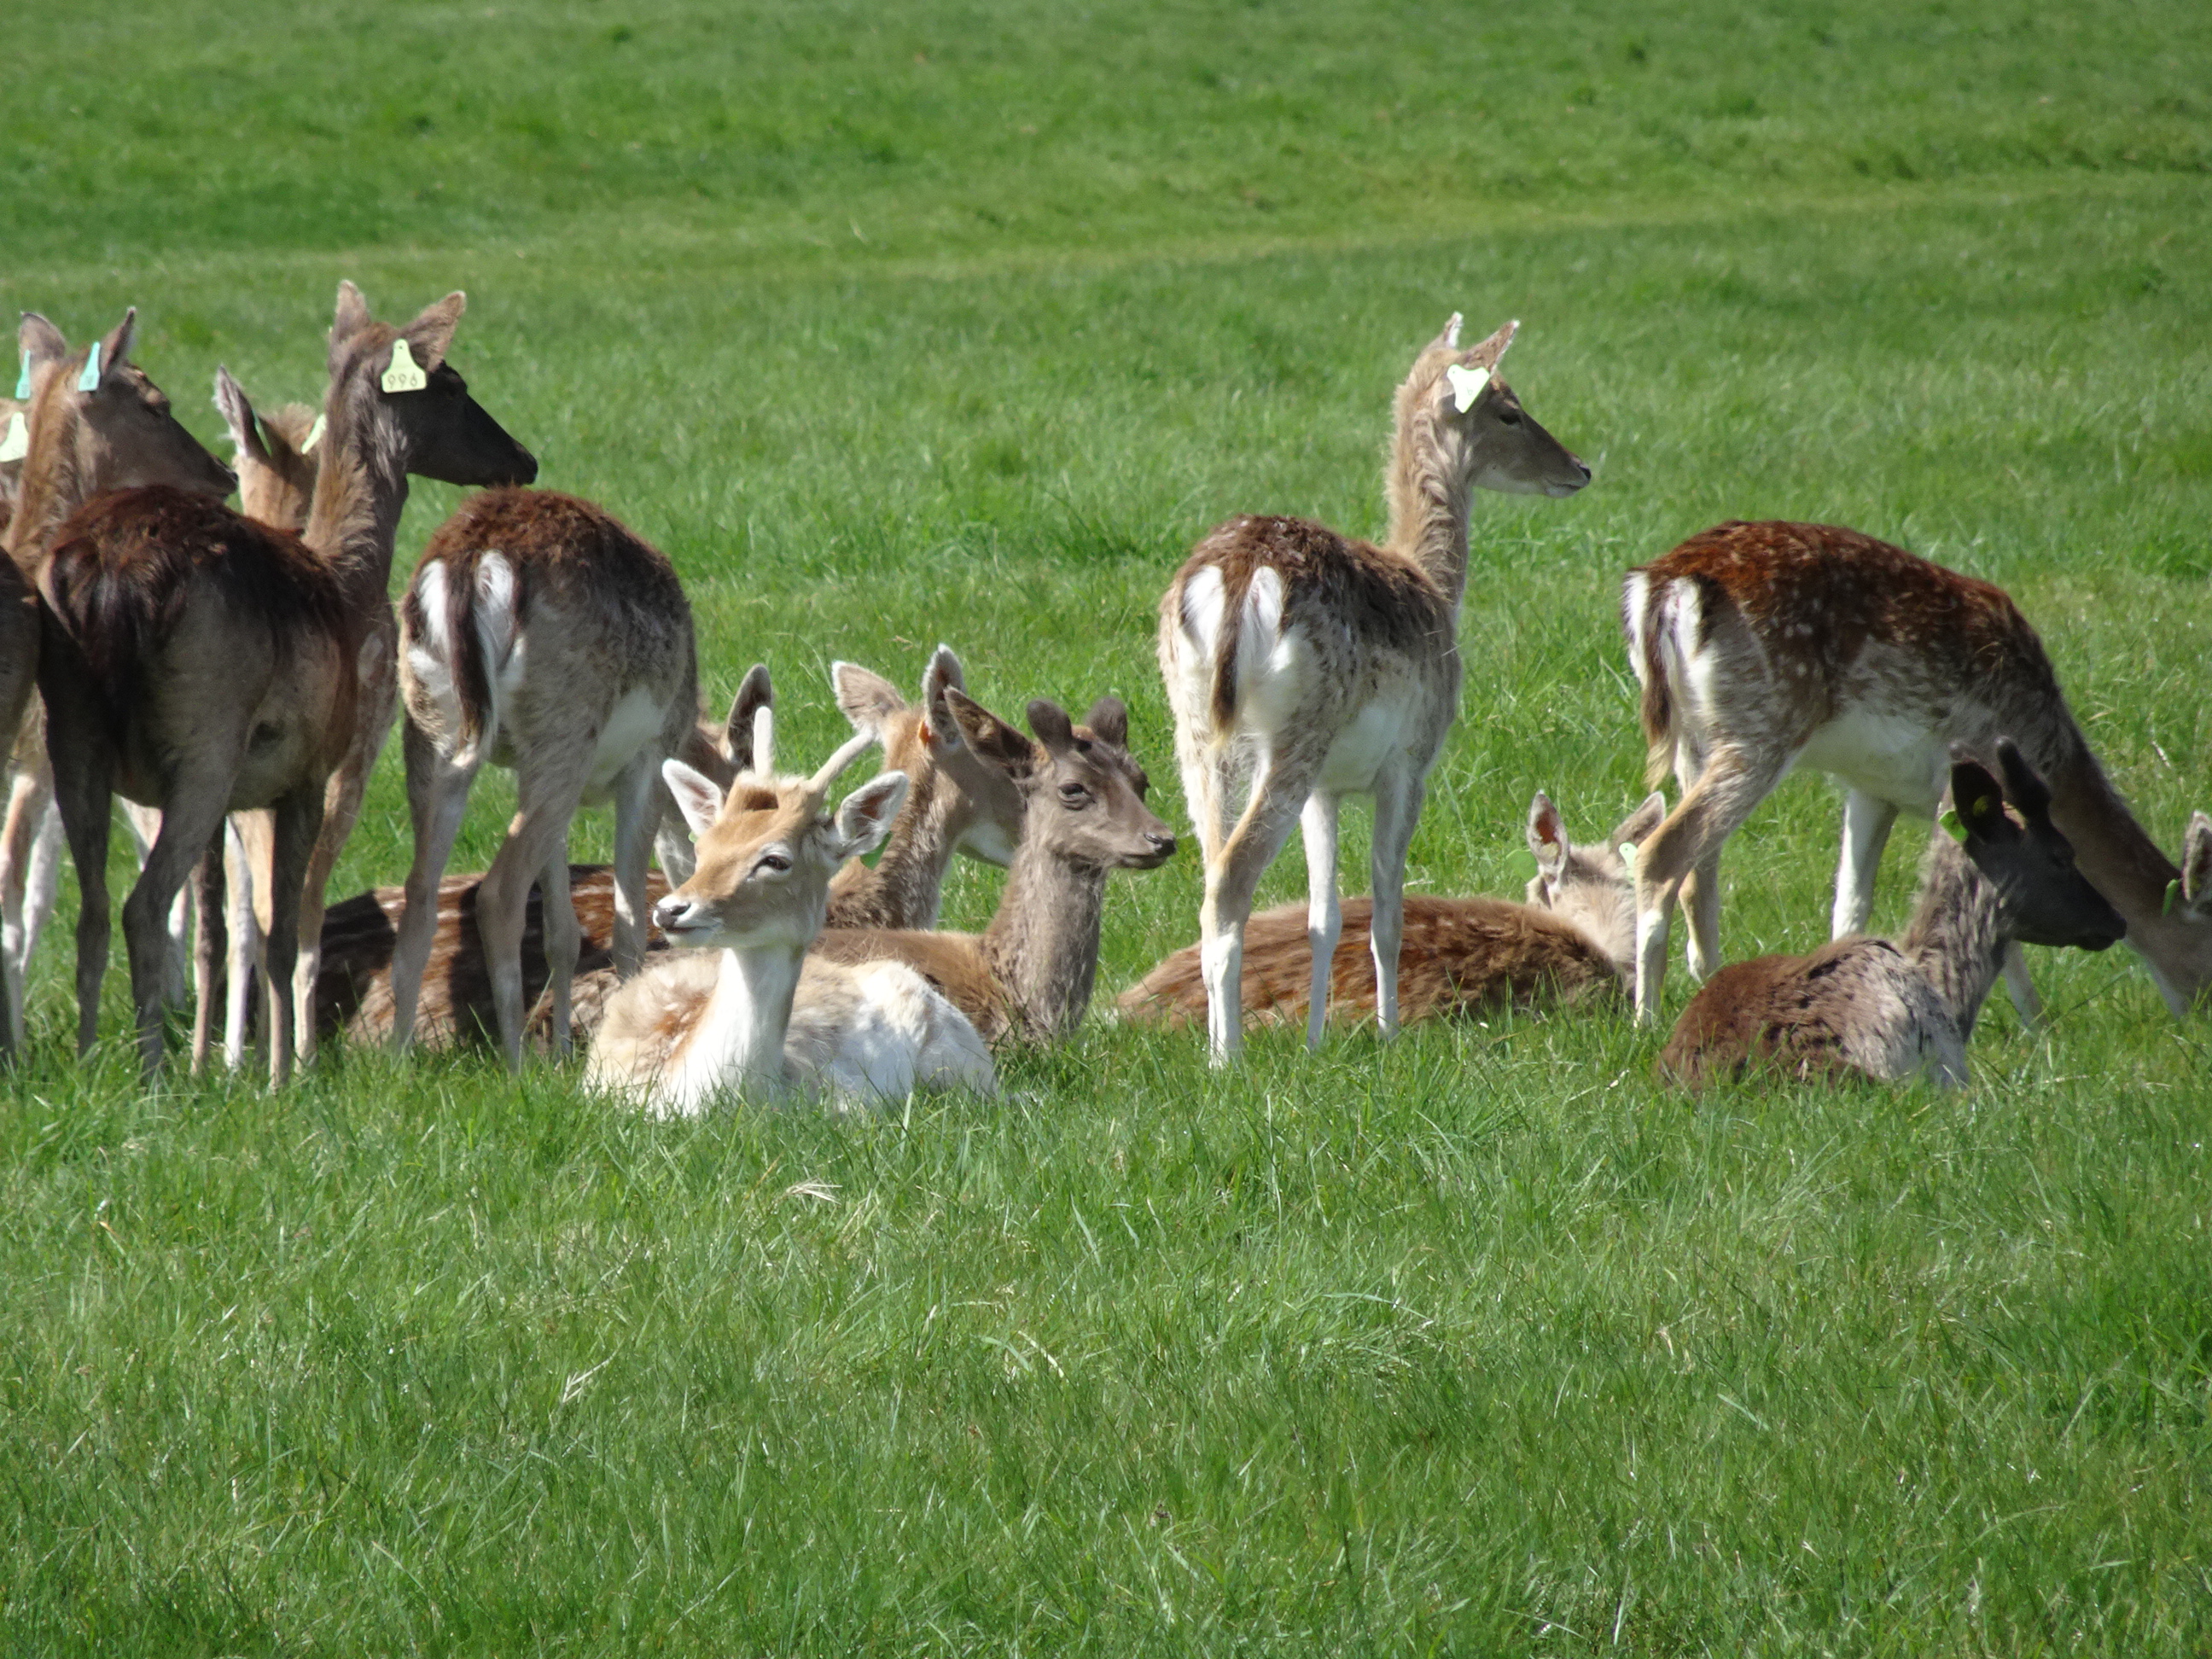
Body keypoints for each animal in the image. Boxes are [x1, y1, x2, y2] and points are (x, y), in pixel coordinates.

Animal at [36, 285, 535, 1083]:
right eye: (453, 383)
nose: (523, 458)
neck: (344, 584)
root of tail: (104, 579)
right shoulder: (304, 770)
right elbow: (279, 930)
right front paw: (277, 1078)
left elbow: (225, 929)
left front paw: (231, 1062)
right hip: (206, 737)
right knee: (144, 905)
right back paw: (151, 1079)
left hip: (72, 734)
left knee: (92, 908)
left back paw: (91, 1065)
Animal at [385, 486, 700, 1070]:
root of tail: (471, 562)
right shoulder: (647, 760)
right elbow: (628, 924)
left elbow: (564, 932)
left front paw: (562, 1055)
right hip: (564, 730)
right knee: (498, 893)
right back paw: (514, 1066)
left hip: (431, 732)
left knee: (420, 892)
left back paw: (397, 1063)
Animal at [1158, 313, 1590, 1065]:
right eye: (1509, 409)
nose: (1581, 468)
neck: (1437, 589)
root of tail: (1233, 578)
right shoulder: (1409, 763)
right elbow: (1387, 907)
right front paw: (1387, 1033)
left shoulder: (1330, 788)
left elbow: (1324, 915)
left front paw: (1315, 1041)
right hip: (1296, 732)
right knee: (1233, 877)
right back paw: (1227, 1057)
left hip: (1196, 733)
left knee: (1210, 875)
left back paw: (1218, 1038)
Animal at [1621, 520, 2212, 1025]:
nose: (2196, 1030)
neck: (2049, 750)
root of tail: (1666, 581)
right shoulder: (1967, 780)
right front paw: (2036, 1028)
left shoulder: (1870, 789)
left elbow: (1850, 907)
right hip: (1763, 726)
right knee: (1663, 853)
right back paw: (1647, 1020)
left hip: (1696, 741)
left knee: (1699, 873)